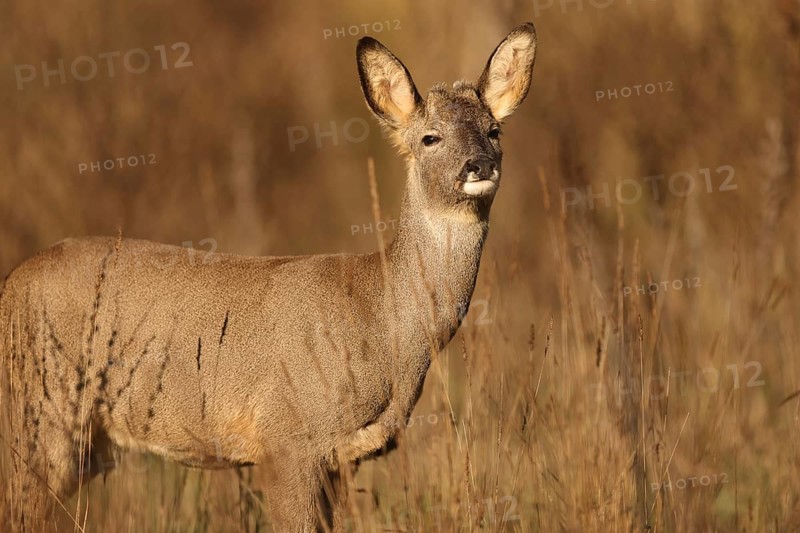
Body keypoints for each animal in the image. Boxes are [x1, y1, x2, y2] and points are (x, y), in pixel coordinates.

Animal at [0, 22, 537, 531]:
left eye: (494, 131)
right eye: (430, 137)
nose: (479, 165)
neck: (382, 321)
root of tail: (9, 286)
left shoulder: (343, 460)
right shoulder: (286, 438)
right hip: (39, 418)